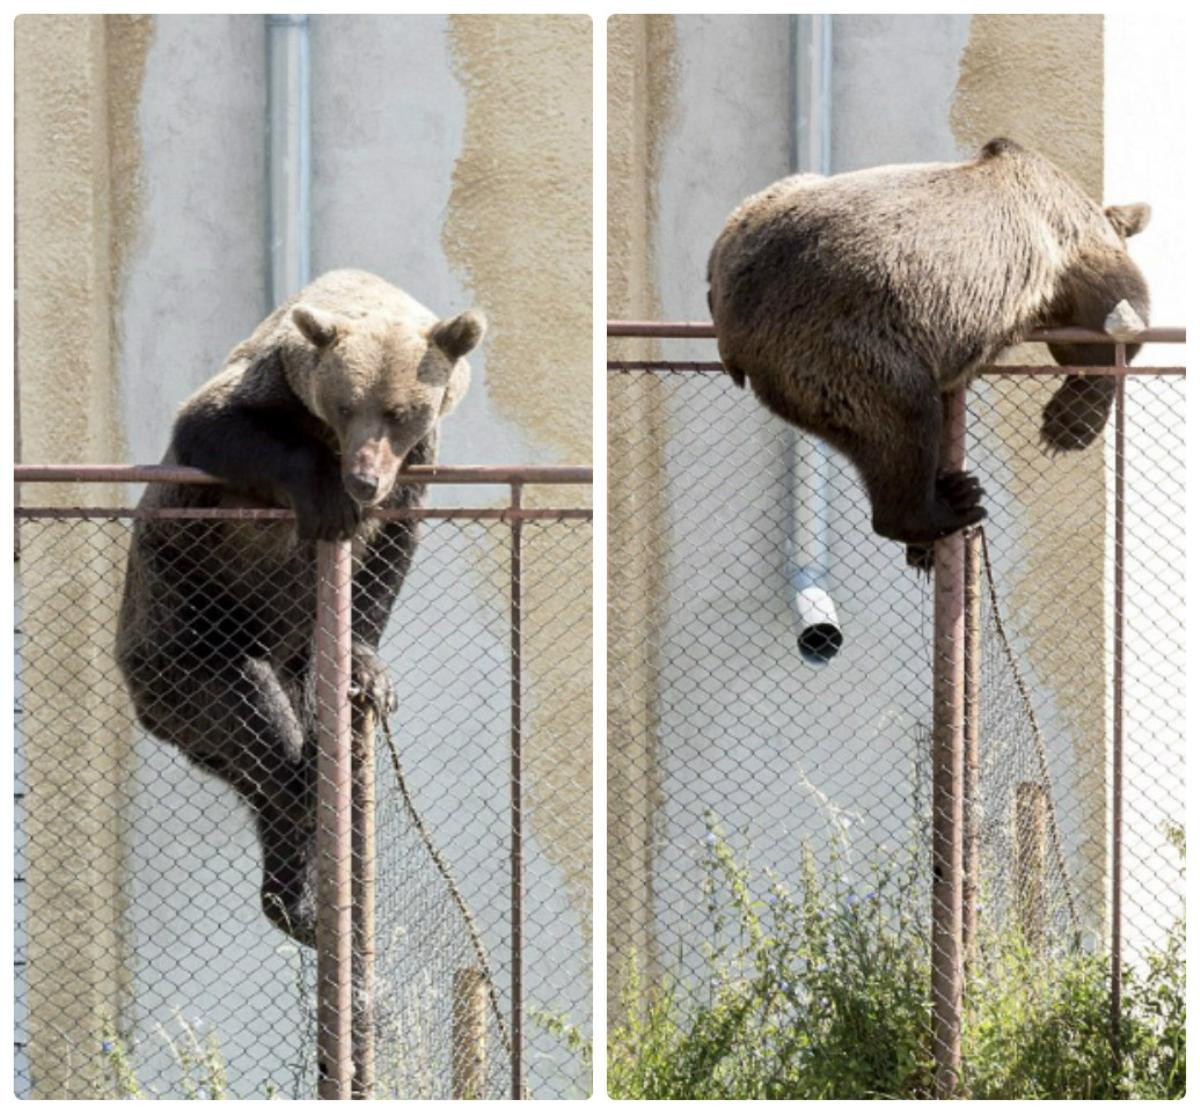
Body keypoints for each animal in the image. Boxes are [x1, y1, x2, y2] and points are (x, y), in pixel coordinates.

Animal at [114, 267, 484, 941]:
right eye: (345, 404)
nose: (364, 478)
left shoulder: (418, 463)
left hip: (284, 659)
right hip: (183, 623)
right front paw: (331, 499)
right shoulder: (261, 395)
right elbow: (212, 425)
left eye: (399, 411)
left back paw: (303, 900)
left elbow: (388, 554)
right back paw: (299, 899)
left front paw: (369, 665)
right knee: (265, 745)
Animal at [705, 136, 1147, 554]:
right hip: (847, 345)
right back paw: (948, 506)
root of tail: (733, 329)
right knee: (903, 424)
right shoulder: (1059, 238)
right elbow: (1115, 310)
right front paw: (1068, 425)